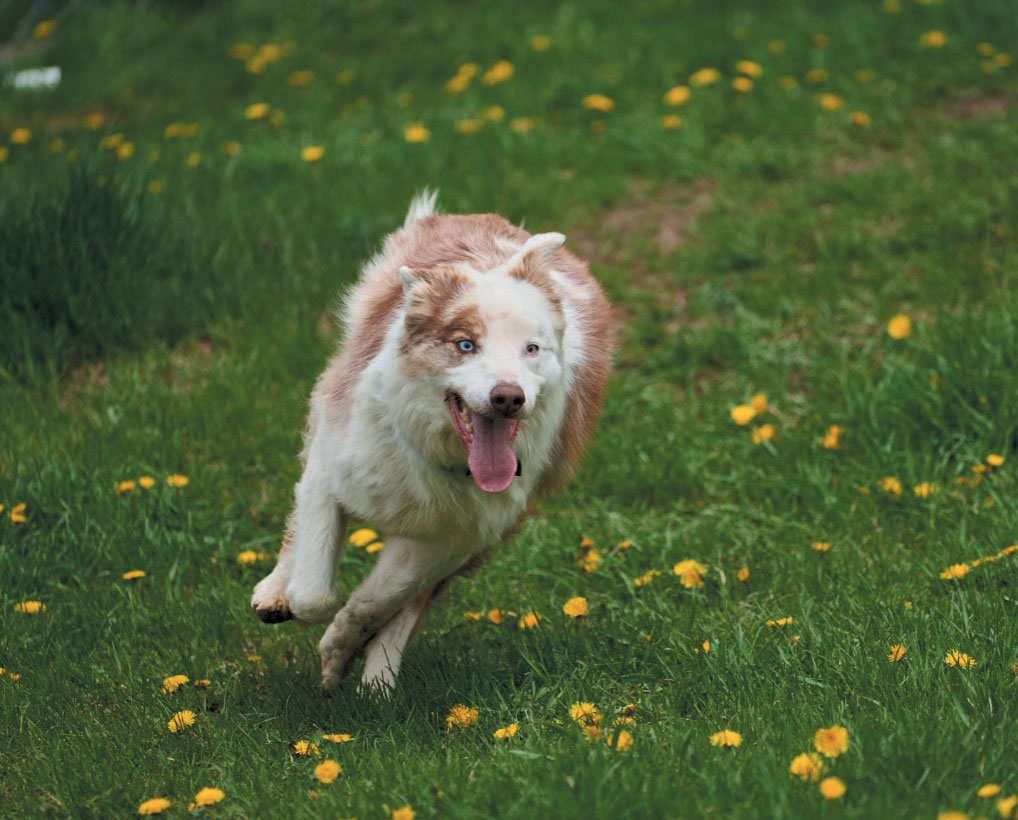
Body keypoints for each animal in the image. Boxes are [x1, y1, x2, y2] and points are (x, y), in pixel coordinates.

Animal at [250, 194, 606, 691]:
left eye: (531, 350)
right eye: (465, 345)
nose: (509, 397)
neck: (434, 450)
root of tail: (492, 220)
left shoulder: (458, 533)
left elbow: (381, 601)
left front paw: (342, 650)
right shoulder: (333, 461)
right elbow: (313, 593)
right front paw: (309, 619)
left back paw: (378, 679)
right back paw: (273, 593)